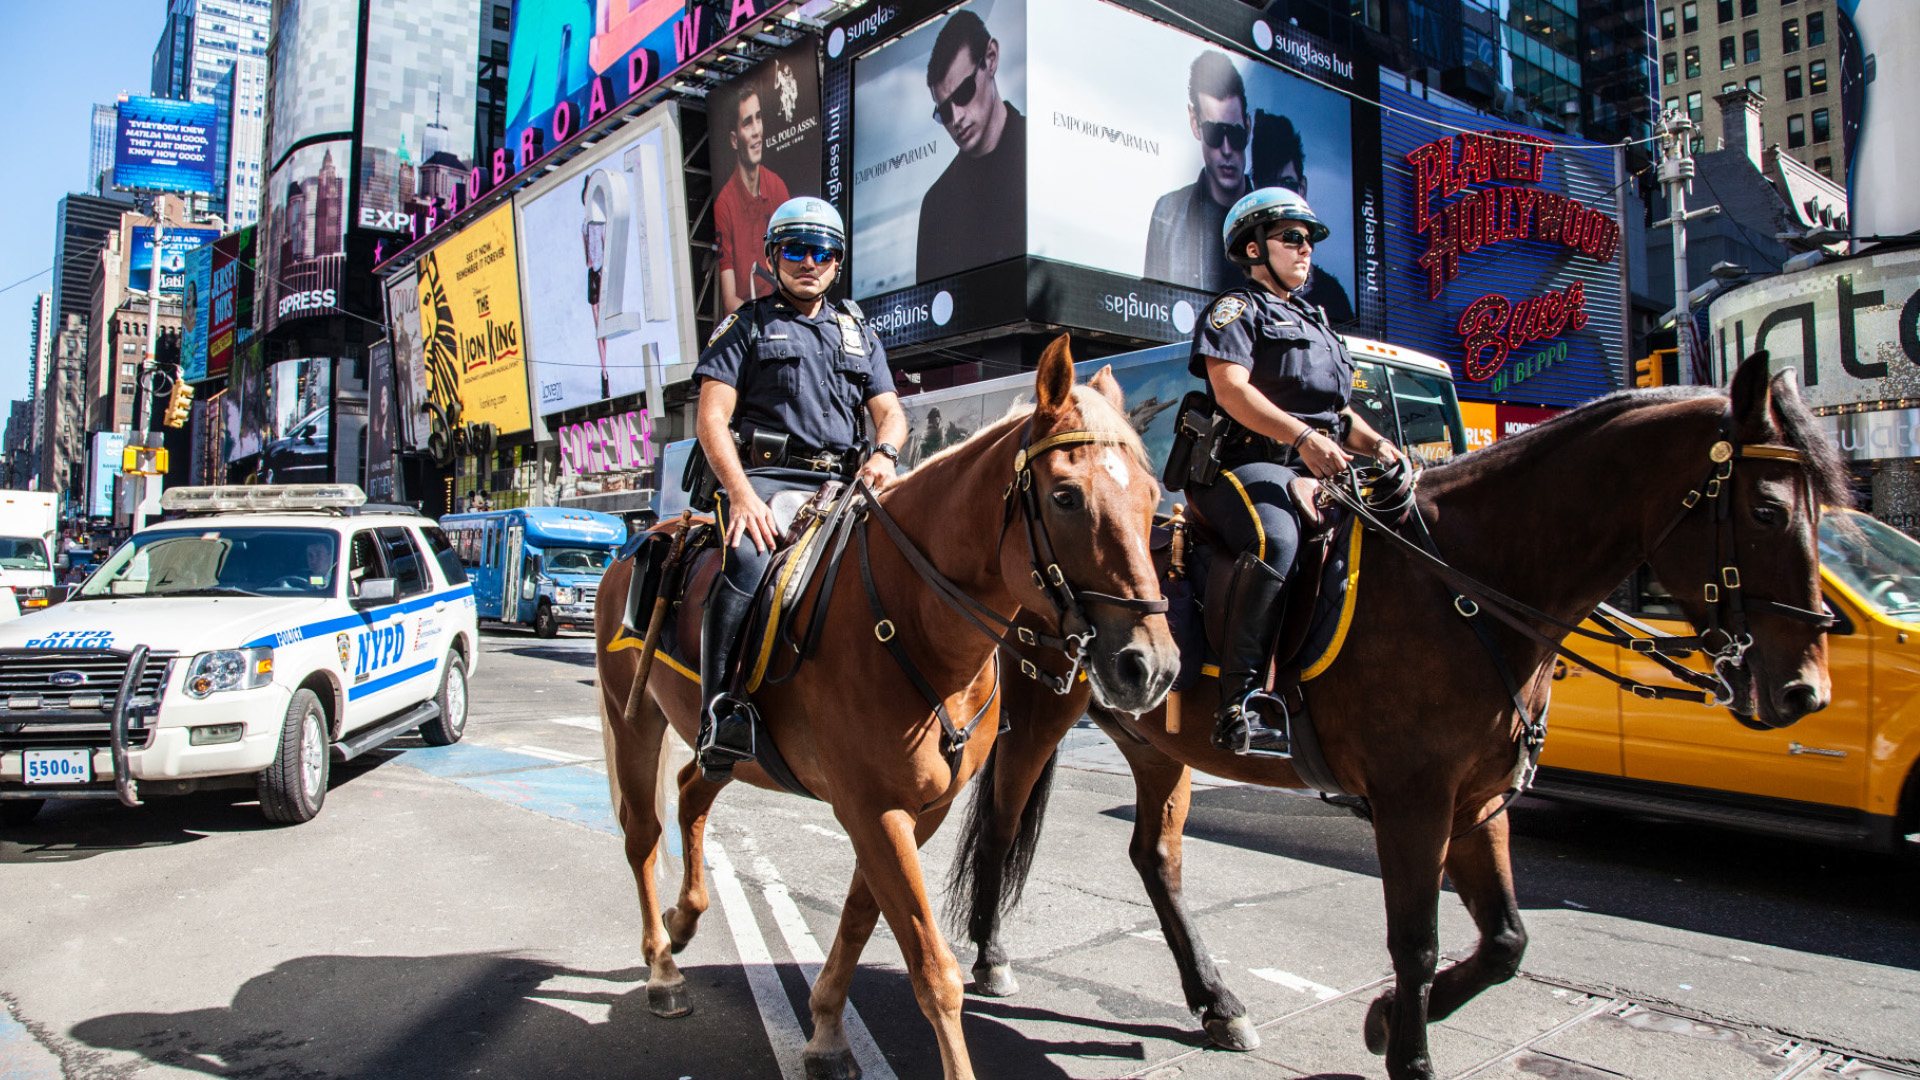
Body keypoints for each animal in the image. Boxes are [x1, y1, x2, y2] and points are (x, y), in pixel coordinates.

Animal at [591, 336, 1175, 1076]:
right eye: (1066, 496)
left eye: (1153, 497)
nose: (1150, 668)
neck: (917, 623)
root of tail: (639, 544)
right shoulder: (873, 808)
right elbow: (932, 968)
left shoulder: (917, 811)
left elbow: (860, 916)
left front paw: (824, 1030)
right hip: (632, 718)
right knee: (643, 833)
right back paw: (662, 969)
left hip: (721, 745)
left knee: (694, 787)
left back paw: (686, 917)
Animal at [944, 349, 1843, 1068]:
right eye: (1767, 510)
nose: (1806, 690)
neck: (1469, 585)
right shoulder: (1414, 802)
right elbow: (1416, 941)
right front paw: (1406, 1049)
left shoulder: (1477, 800)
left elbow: (1506, 941)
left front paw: (1382, 1022)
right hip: (1041, 710)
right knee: (1003, 816)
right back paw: (991, 957)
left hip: (1158, 739)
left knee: (1154, 858)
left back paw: (1216, 1001)